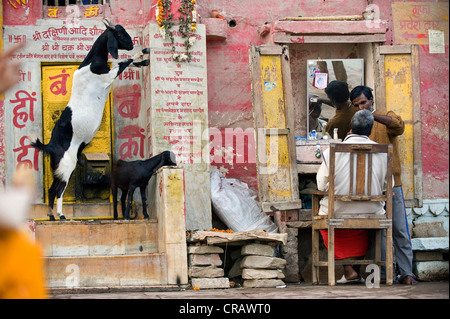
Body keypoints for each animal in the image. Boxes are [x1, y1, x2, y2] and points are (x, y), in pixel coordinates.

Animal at [32, 18, 151, 221]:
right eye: (119, 34)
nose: (131, 44)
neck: (90, 64)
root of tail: (50, 146)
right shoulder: (108, 76)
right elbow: (123, 62)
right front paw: (143, 52)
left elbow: (126, 63)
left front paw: (145, 61)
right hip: (67, 164)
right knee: (59, 190)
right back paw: (61, 215)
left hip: (58, 167)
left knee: (51, 189)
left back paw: (51, 216)